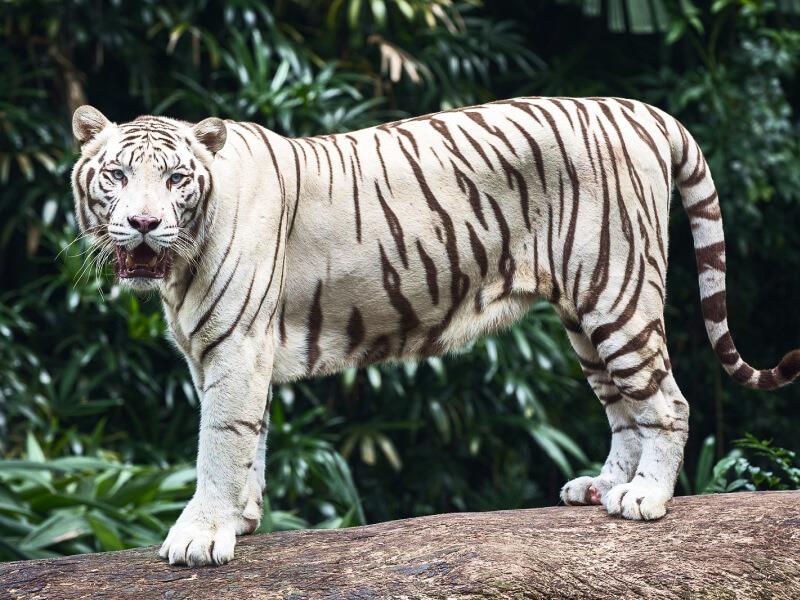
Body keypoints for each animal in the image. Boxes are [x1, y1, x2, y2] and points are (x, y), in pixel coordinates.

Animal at [70, 97, 800, 566]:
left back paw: (645, 497)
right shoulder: (229, 350)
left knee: (666, 401)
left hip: (615, 292)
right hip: (584, 317)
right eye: (116, 175)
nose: (142, 224)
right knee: (624, 408)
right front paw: (244, 521)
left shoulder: (235, 345)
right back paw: (602, 488)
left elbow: (221, 442)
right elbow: (253, 439)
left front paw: (201, 537)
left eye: (175, 179)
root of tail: (646, 112)